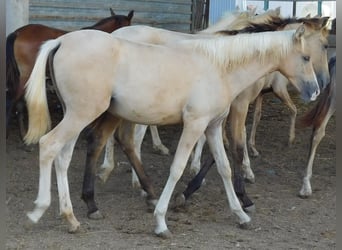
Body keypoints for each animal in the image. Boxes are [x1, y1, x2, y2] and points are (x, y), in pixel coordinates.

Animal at [22, 25, 320, 236]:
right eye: (306, 57)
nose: (315, 91)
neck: (218, 68)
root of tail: (61, 41)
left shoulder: (212, 127)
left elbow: (224, 167)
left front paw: (241, 215)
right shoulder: (195, 124)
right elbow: (177, 168)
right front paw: (161, 222)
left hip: (79, 115)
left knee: (64, 156)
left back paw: (72, 218)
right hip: (82, 114)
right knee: (49, 145)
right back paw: (39, 210)